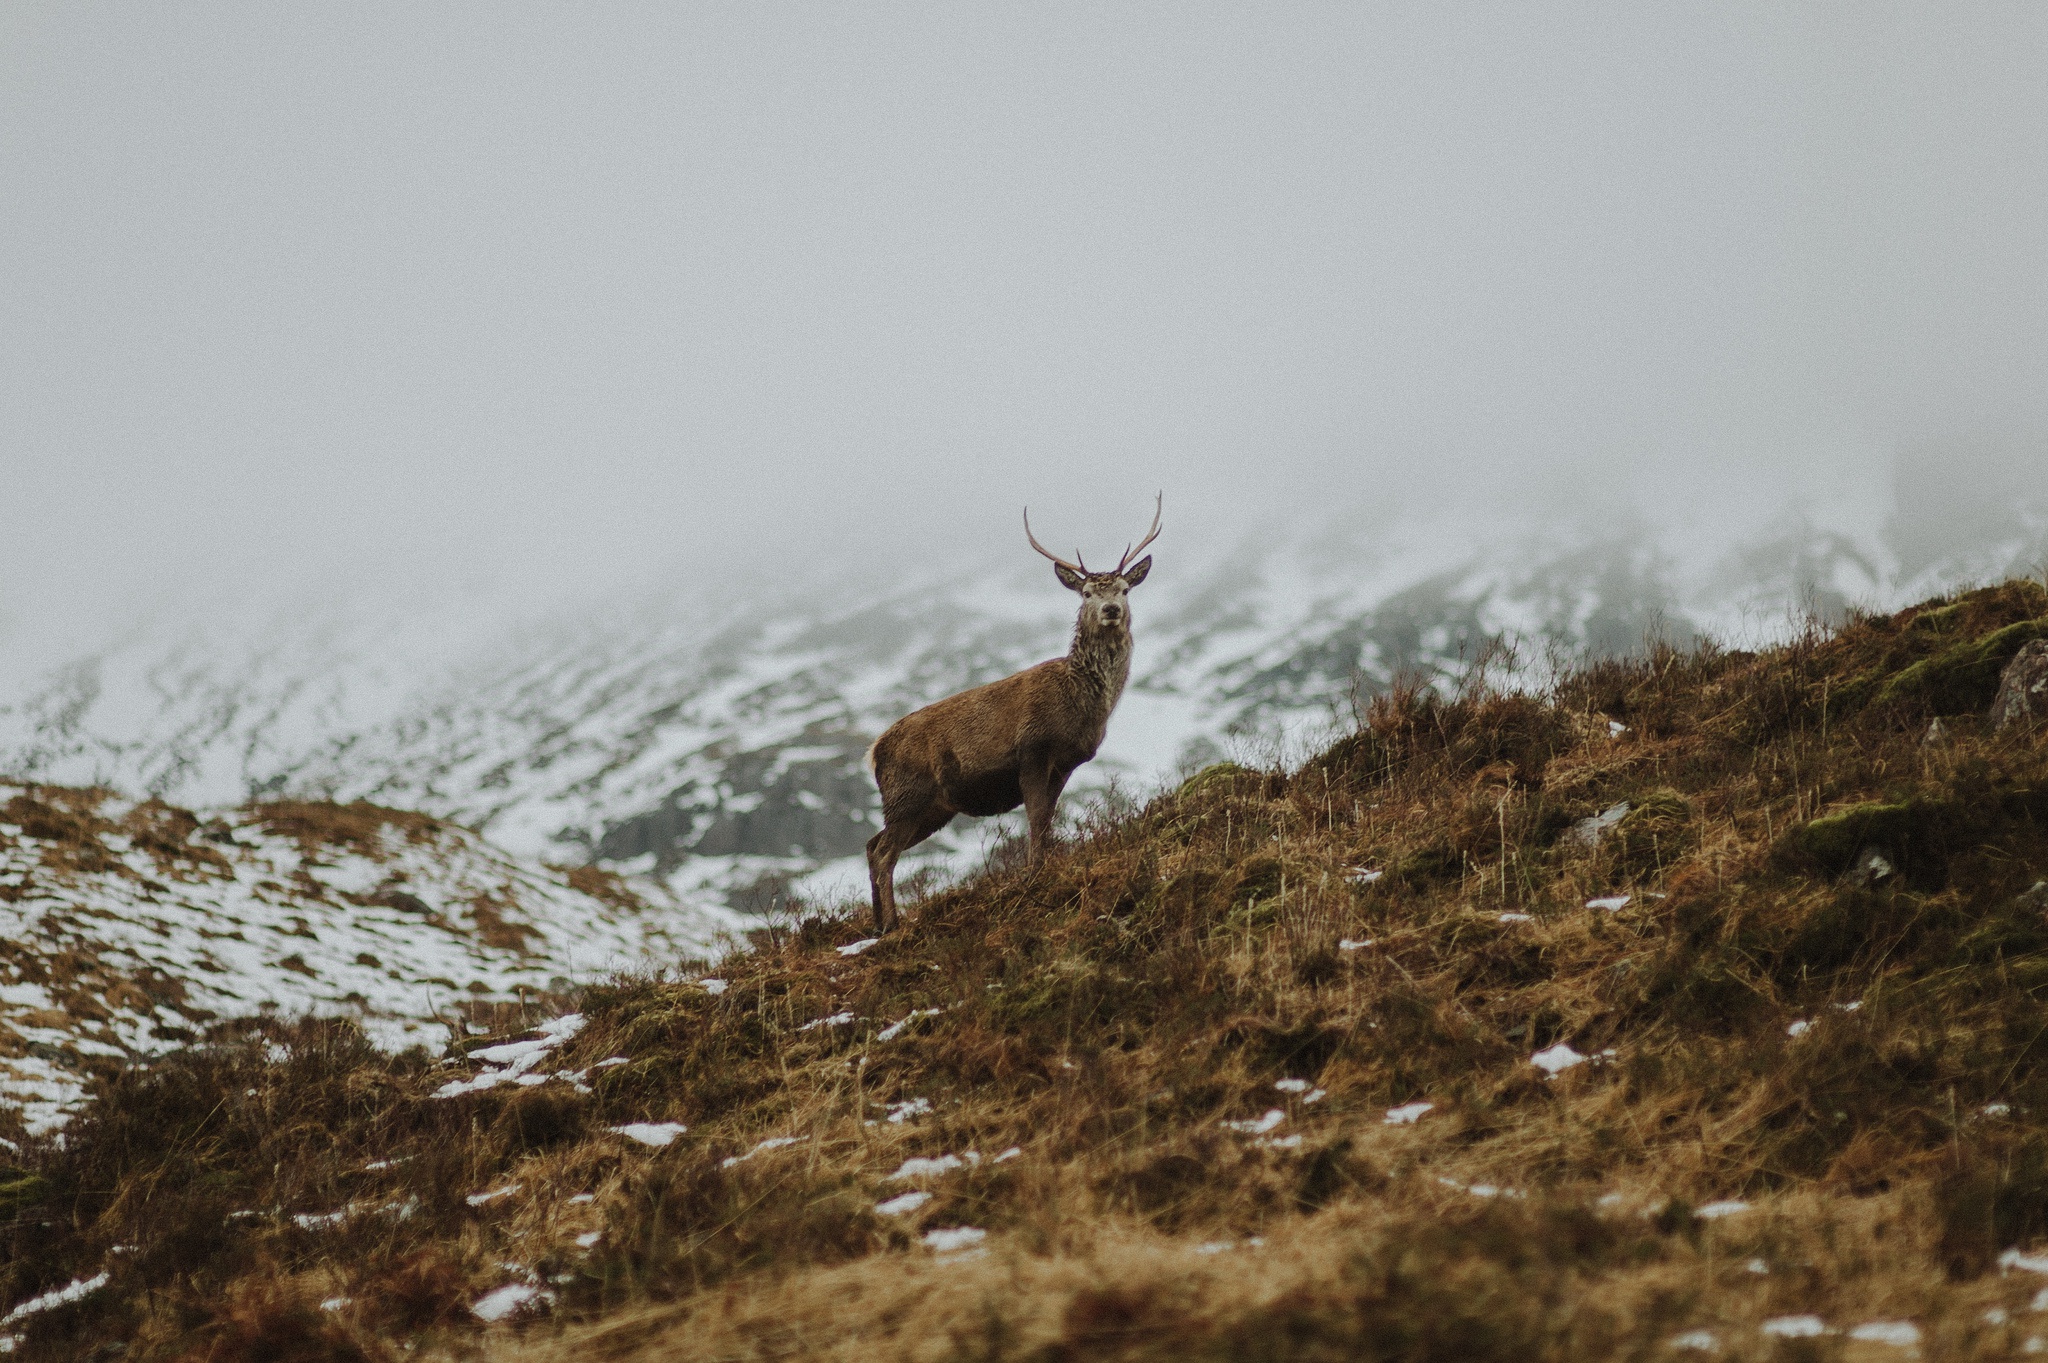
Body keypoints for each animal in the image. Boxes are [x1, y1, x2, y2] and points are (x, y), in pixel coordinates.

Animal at [856, 493, 1163, 929]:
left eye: (1124, 589)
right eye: (1086, 593)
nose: (1110, 610)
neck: (1082, 702)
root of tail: (874, 751)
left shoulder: (1066, 763)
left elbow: (1048, 819)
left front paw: (1043, 865)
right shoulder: (1033, 748)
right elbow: (1034, 817)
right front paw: (1034, 873)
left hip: (931, 807)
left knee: (872, 844)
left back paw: (879, 923)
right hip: (907, 793)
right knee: (884, 853)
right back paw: (894, 923)